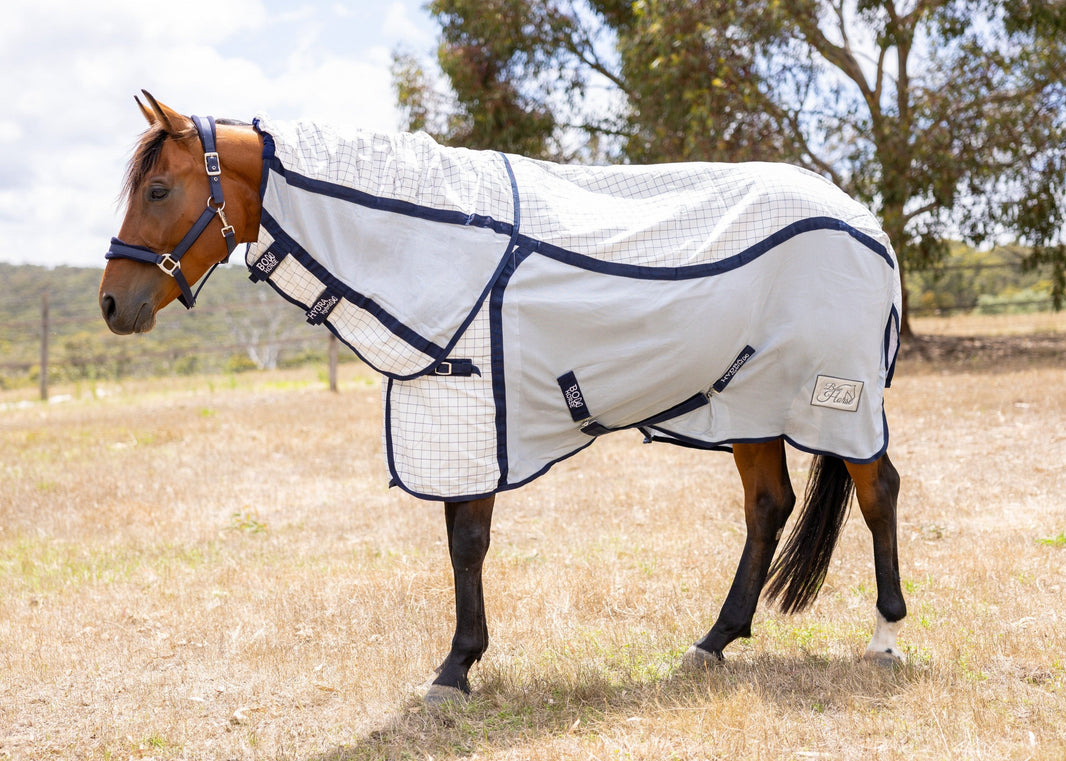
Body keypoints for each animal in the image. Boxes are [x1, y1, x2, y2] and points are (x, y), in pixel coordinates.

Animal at [99, 92, 906, 704]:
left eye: (159, 190)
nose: (111, 303)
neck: (435, 241)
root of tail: (864, 220)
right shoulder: (451, 422)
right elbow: (460, 541)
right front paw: (461, 662)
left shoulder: (474, 419)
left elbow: (467, 543)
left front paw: (455, 669)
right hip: (748, 405)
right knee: (768, 505)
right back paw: (713, 642)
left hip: (837, 400)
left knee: (878, 492)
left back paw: (886, 637)